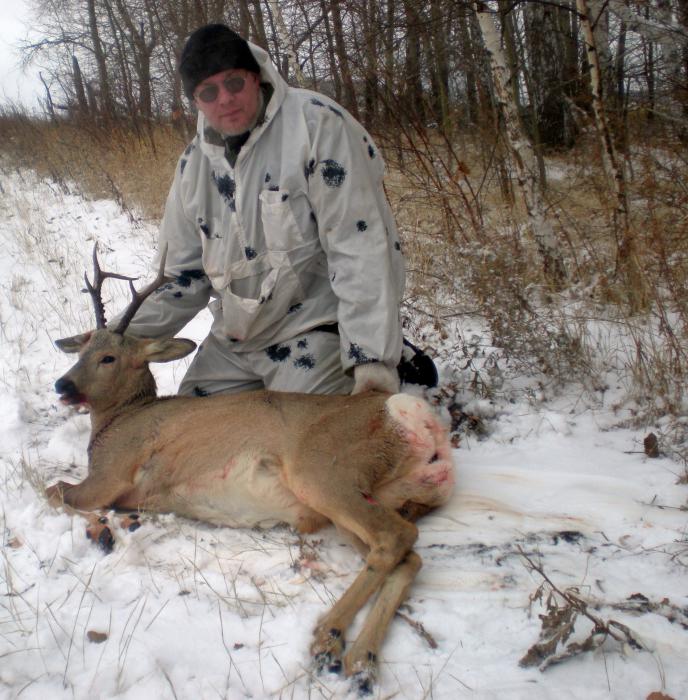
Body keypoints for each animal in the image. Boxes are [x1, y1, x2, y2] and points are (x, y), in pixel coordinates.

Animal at [47, 245, 455, 693]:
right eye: (81, 350)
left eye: (109, 357)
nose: (63, 385)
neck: (121, 418)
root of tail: (411, 415)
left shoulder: (112, 473)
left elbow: (56, 491)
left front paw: (102, 531)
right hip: (358, 501)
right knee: (408, 557)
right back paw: (361, 661)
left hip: (323, 472)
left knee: (395, 537)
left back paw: (328, 638)